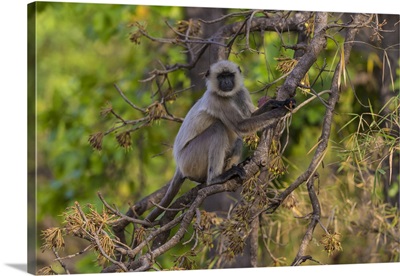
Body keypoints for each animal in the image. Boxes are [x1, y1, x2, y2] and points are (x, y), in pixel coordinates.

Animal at [146, 60, 294, 222]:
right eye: (221, 77)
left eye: (229, 75)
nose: (226, 82)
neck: (228, 96)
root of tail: (179, 164)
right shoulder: (216, 99)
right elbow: (241, 125)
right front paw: (280, 111)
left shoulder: (241, 92)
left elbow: (249, 117)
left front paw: (277, 103)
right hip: (190, 159)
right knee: (218, 127)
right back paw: (215, 178)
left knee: (236, 138)